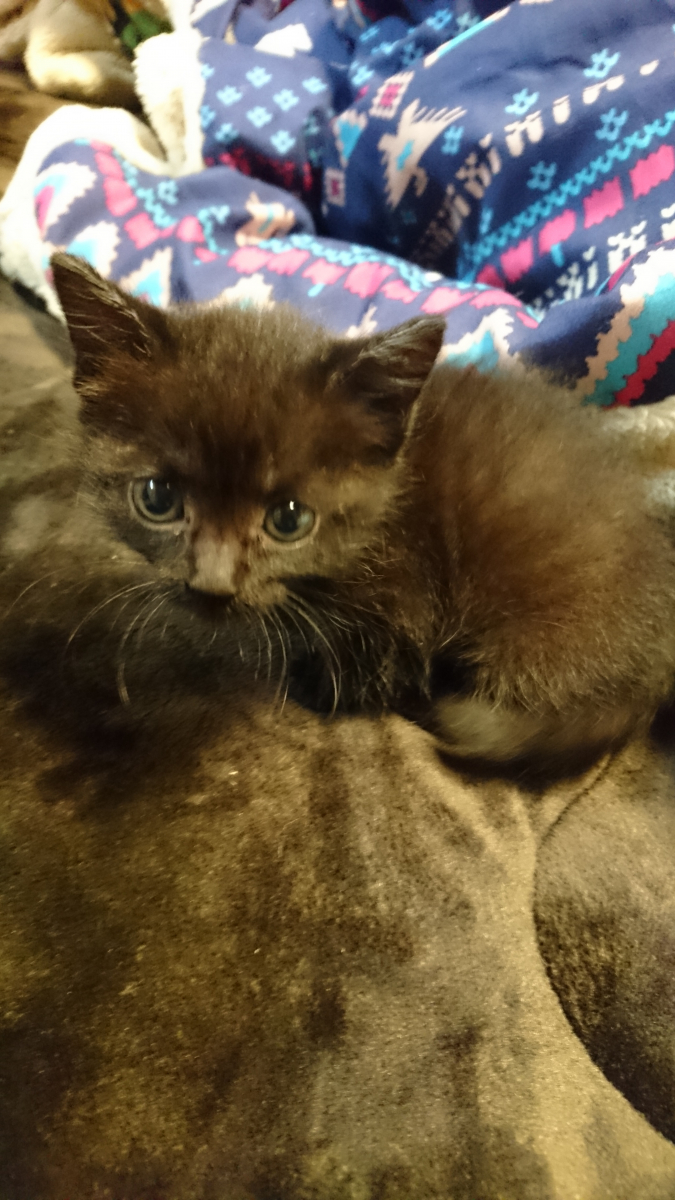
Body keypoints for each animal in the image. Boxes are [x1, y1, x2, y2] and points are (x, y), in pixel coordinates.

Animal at [50, 250, 675, 764]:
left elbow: (370, 678)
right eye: (157, 499)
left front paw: (310, 683)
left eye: (289, 520)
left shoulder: (405, 605)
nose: (212, 584)